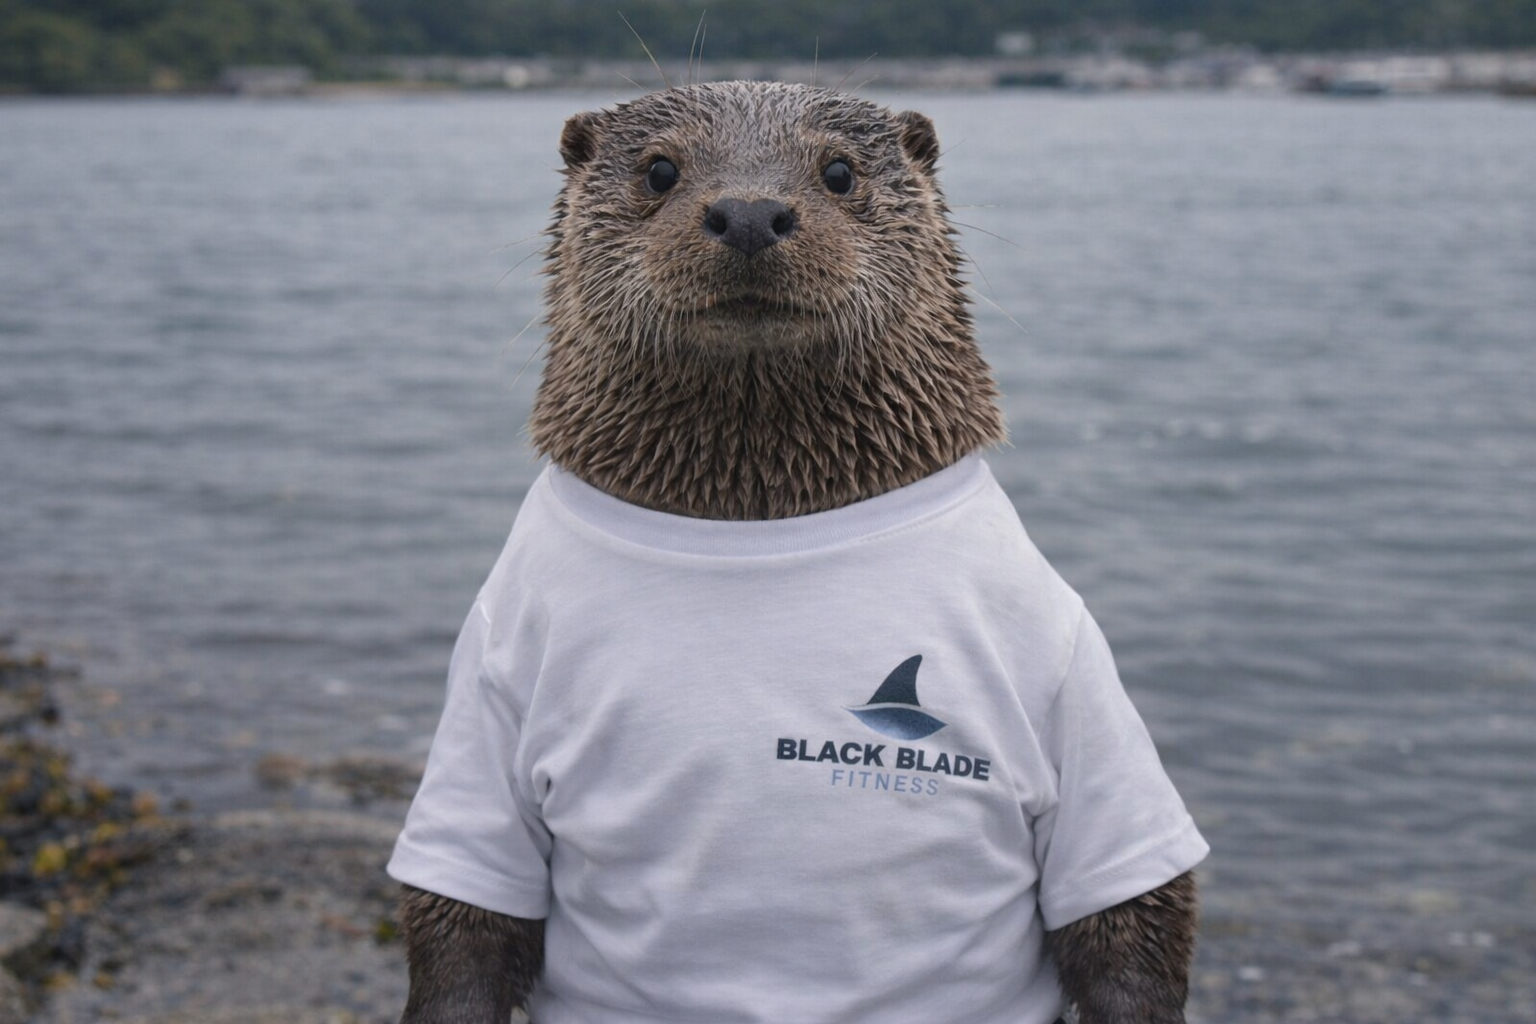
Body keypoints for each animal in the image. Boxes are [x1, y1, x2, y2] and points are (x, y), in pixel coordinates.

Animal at [390, 81, 1204, 1024]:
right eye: (659, 169)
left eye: (840, 171)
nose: (749, 211)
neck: (759, 523)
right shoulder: (491, 674)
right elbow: (462, 921)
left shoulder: (1067, 661)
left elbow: (1130, 915)